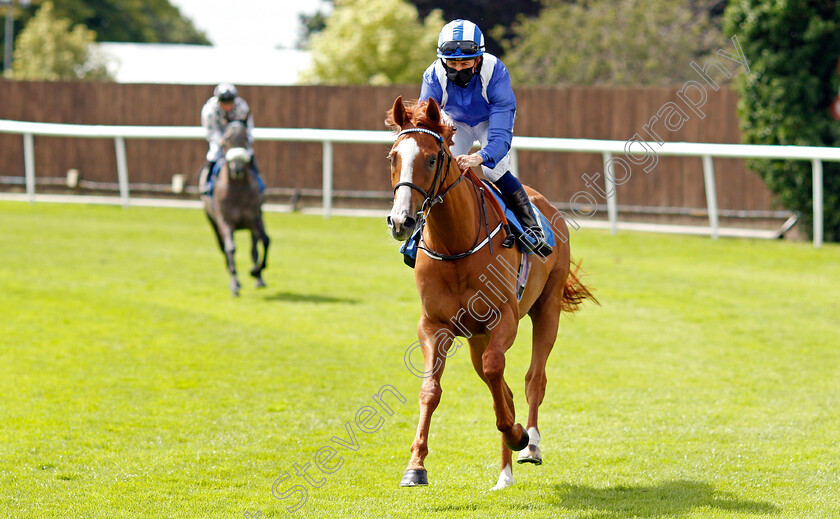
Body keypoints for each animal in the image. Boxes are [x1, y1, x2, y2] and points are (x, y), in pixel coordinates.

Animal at [203, 119, 270, 294]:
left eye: (246, 139)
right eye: (226, 139)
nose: (237, 169)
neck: (238, 187)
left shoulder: (255, 218)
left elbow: (265, 241)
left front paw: (256, 271)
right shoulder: (226, 221)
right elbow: (230, 248)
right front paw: (235, 284)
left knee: (254, 247)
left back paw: (258, 278)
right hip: (213, 222)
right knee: (223, 247)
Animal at [388, 97, 596, 492]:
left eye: (432, 159)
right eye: (393, 157)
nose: (401, 221)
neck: (456, 246)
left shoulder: (504, 318)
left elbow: (497, 369)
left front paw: (518, 435)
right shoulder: (433, 325)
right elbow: (431, 390)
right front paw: (415, 465)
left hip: (546, 310)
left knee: (533, 379)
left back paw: (529, 444)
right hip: (475, 337)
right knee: (503, 386)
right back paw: (505, 473)